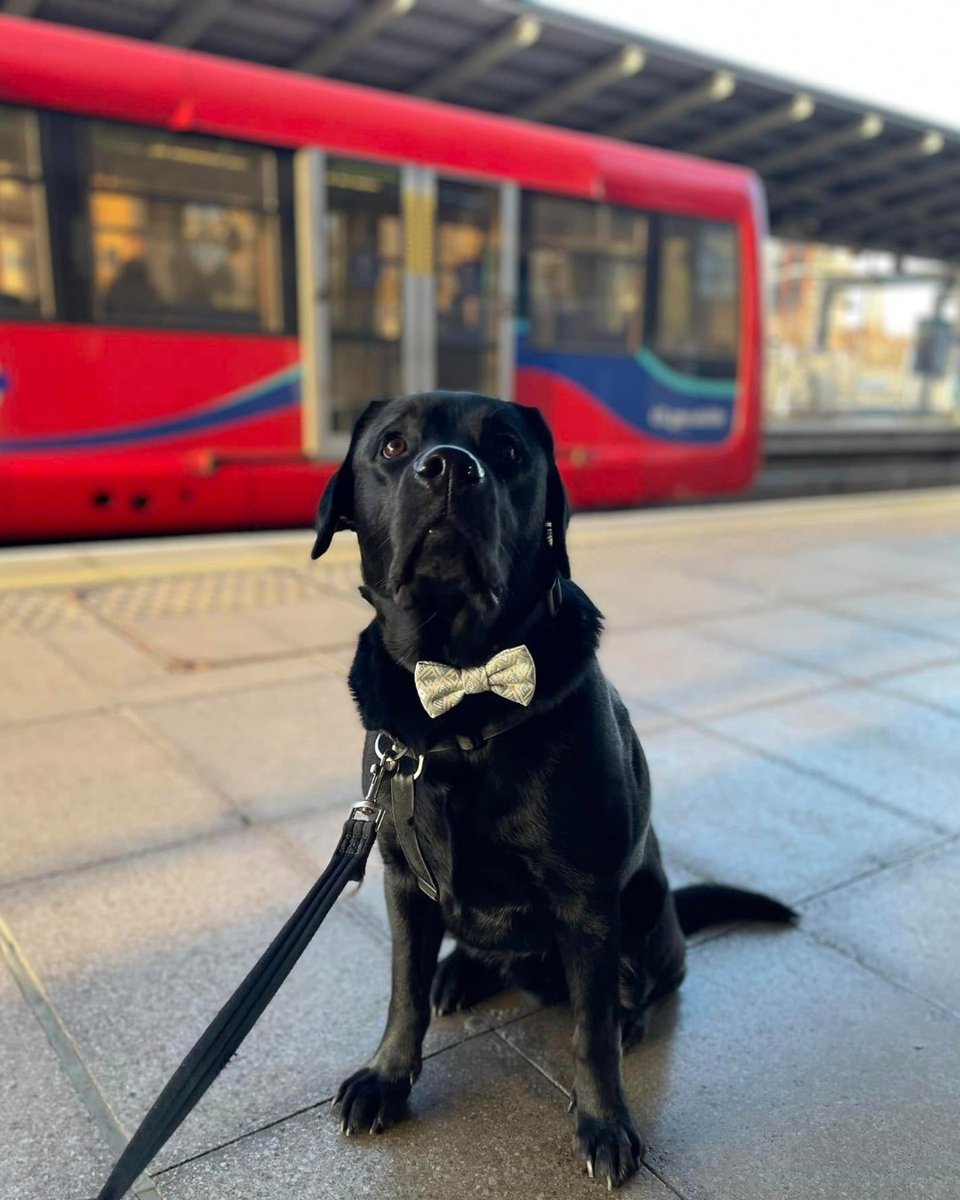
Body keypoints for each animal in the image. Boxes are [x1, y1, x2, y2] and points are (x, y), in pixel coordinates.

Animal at [312, 388, 792, 1185]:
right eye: (392, 446)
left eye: (507, 450)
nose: (449, 468)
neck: (465, 695)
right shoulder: (404, 879)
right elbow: (402, 992)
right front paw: (385, 1077)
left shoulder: (586, 898)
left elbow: (589, 1032)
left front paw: (604, 1124)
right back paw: (460, 974)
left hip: (642, 909)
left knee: (648, 984)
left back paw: (628, 1013)